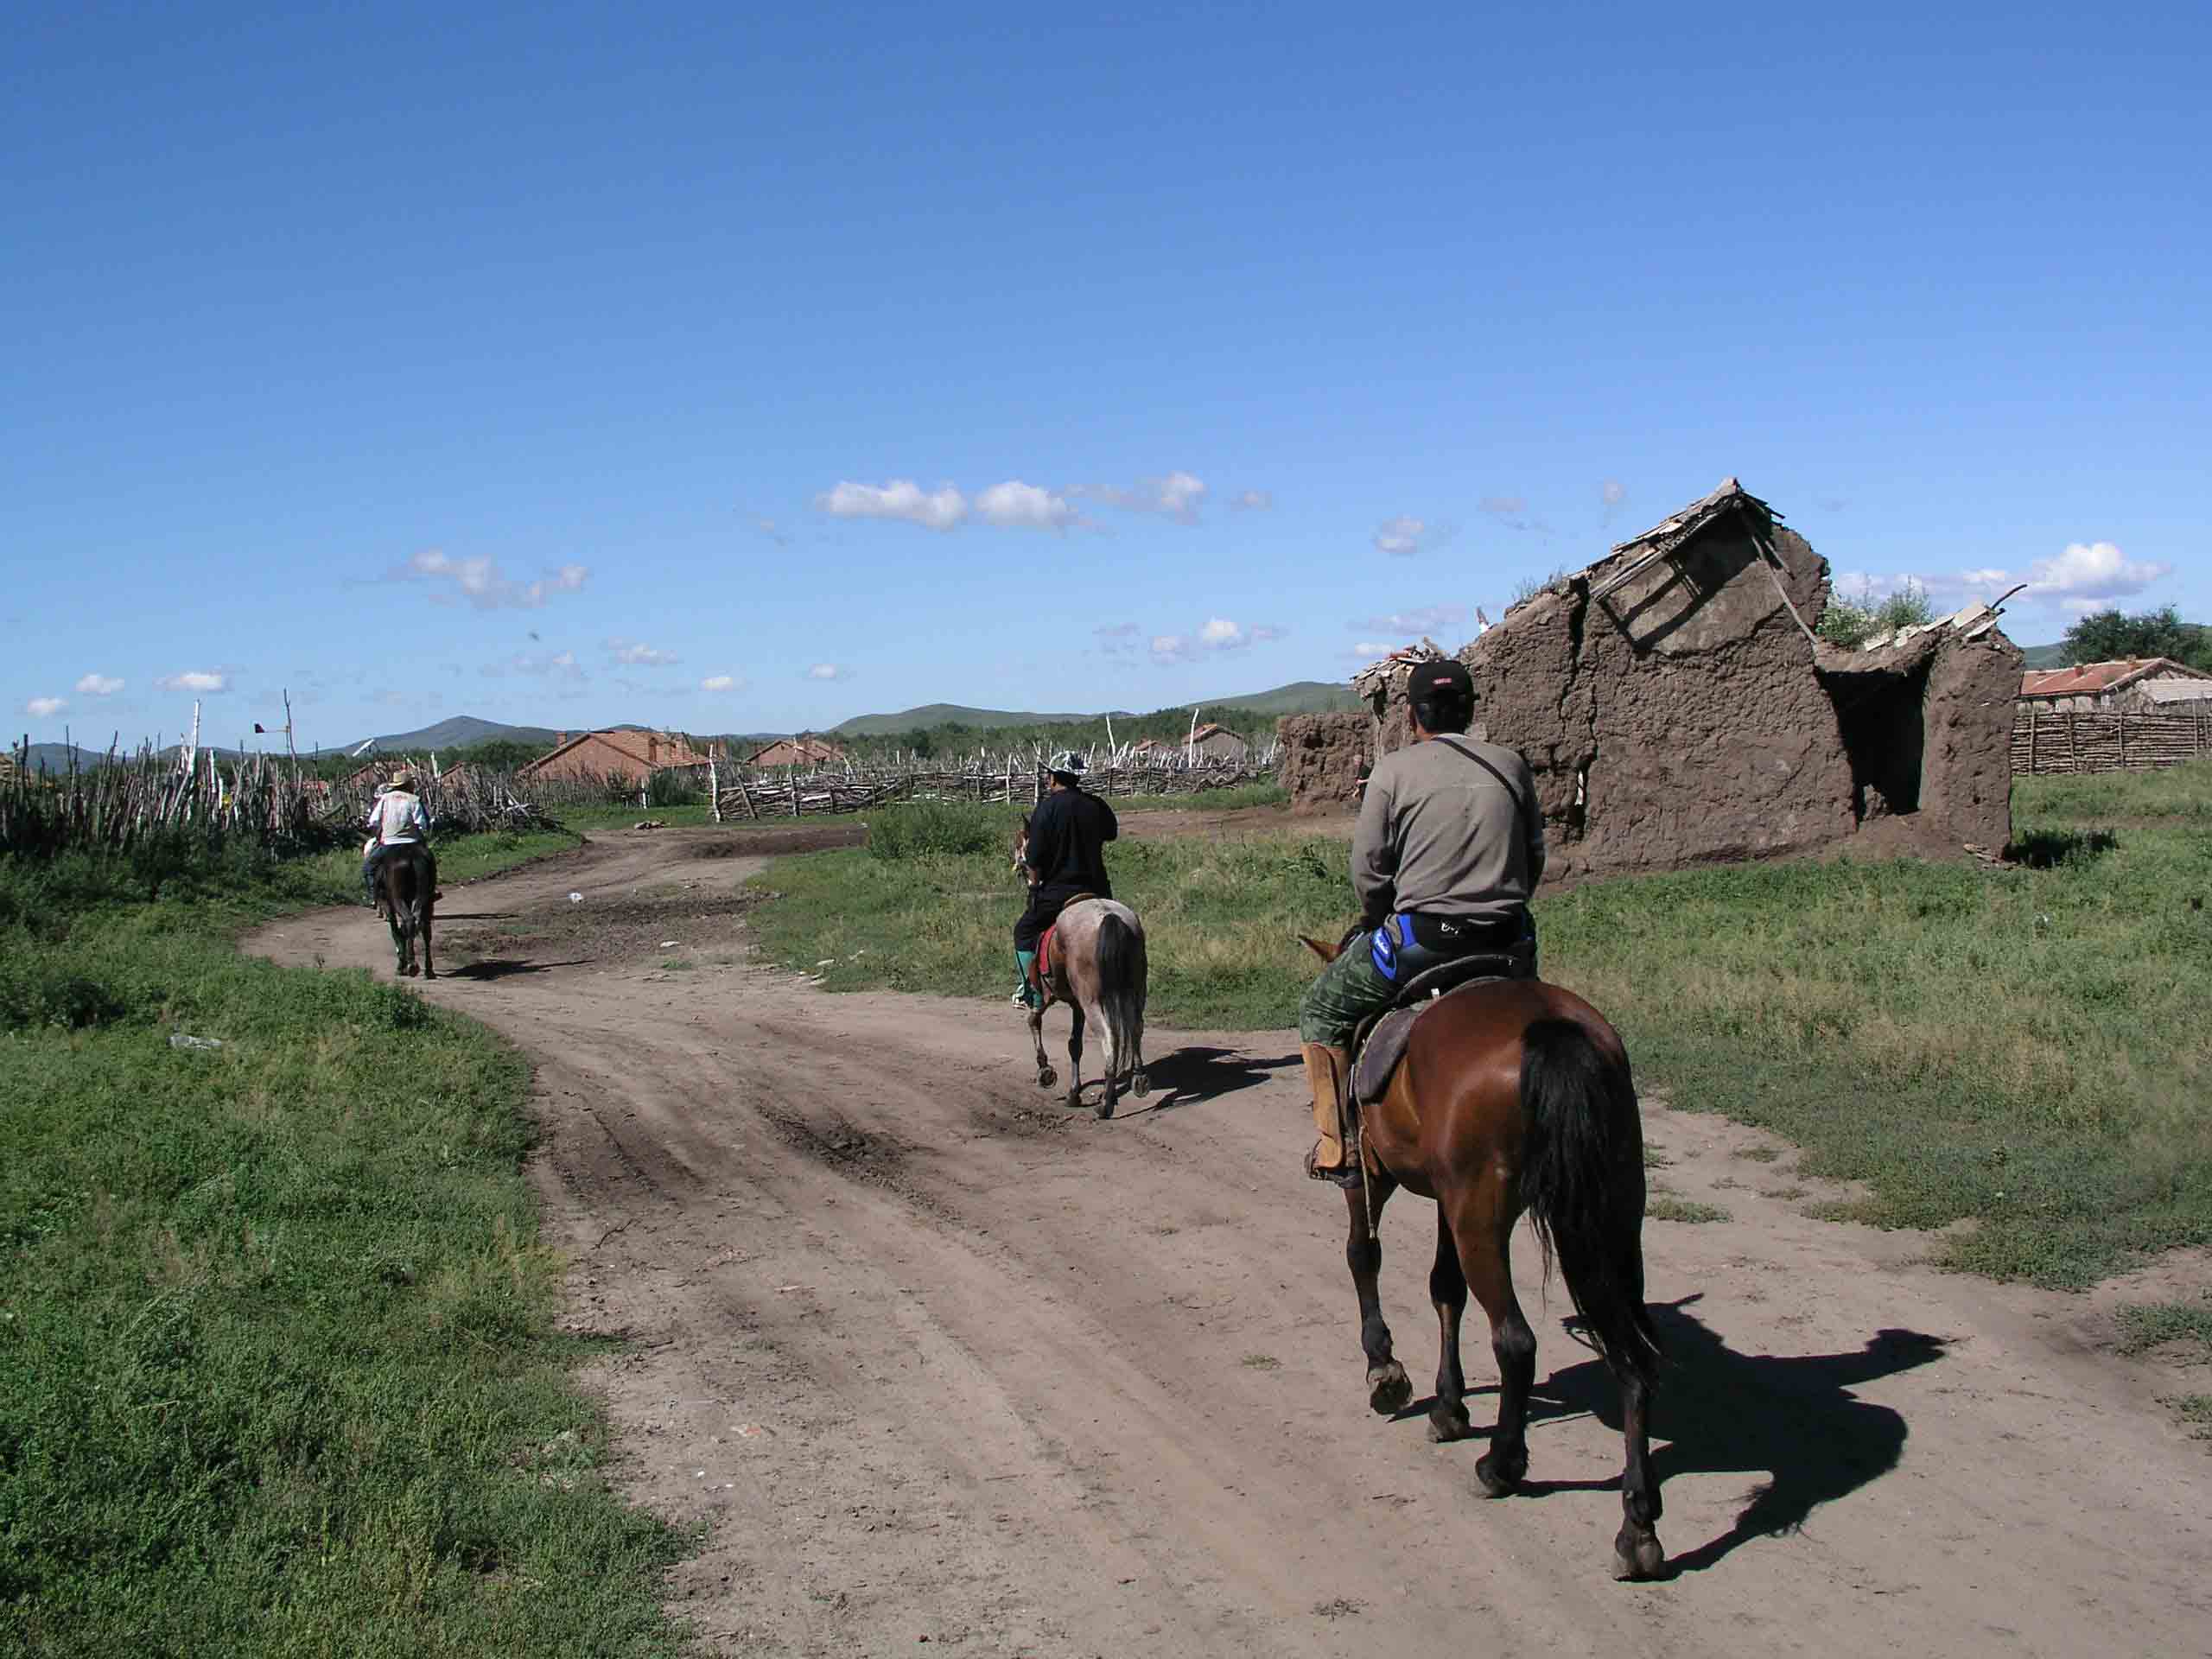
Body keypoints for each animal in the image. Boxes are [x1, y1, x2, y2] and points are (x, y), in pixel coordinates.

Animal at [376, 849, 435, 982]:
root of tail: (413, 857)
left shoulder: (387, 902)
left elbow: (395, 932)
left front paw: (401, 965)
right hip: (427, 897)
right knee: (424, 928)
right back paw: (428, 970)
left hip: (397, 898)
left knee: (409, 921)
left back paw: (412, 966)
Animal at [1017, 827, 1159, 1119]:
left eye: (1022, 850)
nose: (1028, 885)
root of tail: (1108, 916)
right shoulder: (1076, 1005)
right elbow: (1075, 1044)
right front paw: (1074, 1092)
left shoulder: (1048, 997)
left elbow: (1034, 1021)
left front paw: (1045, 1071)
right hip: (1135, 991)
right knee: (1136, 1027)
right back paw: (1138, 1079)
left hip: (1093, 1000)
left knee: (1110, 1038)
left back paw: (1106, 1104)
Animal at [1292, 938, 1663, 1583]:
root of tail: (1551, 1030)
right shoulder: (1448, 1198)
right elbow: (1446, 1288)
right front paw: (1449, 1406)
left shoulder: (1373, 1176)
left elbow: (1363, 1255)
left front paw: (1385, 1369)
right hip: (1605, 1215)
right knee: (1632, 1356)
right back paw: (1637, 1527)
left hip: (1482, 1215)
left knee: (1515, 1340)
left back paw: (1501, 1467)